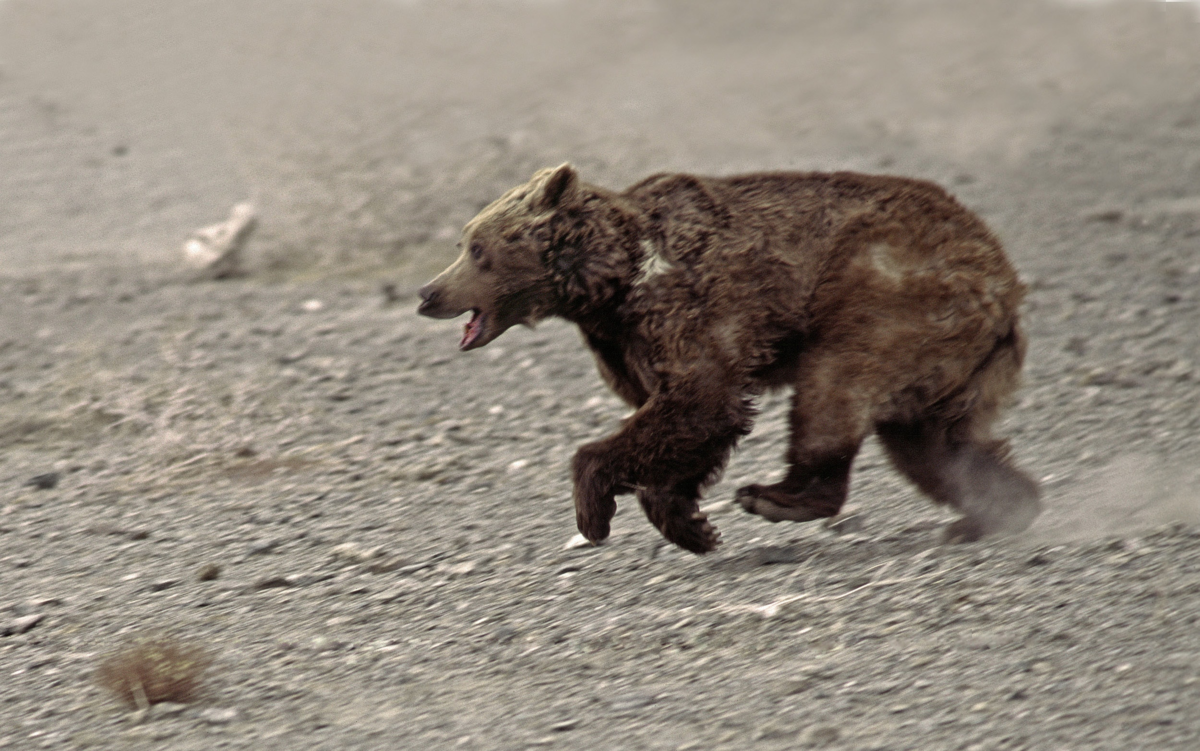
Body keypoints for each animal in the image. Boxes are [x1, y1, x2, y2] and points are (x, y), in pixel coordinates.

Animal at [417, 161, 1036, 549]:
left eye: (477, 249)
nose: (428, 292)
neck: (606, 287)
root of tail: (1004, 279)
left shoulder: (685, 308)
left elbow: (701, 400)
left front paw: (594, 512)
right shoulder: (626, 345)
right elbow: (682, 427)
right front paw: (688, 523)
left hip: (887, 292)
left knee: (835, 386)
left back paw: (776, 495)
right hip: (947, 358)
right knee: (932, 443)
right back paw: (993, 510)